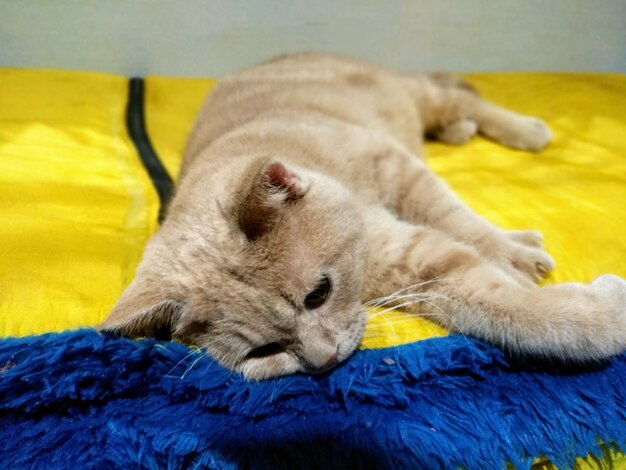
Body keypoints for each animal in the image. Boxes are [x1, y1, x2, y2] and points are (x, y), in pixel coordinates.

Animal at [97, 53, 624, 380]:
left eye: (318, 294)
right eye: (263, 353)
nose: (324, 360)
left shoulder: (396, 168)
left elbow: (459, 220)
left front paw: (515, 254)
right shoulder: (422, 269)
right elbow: (503, 307)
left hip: (412, 95)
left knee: (462, 96)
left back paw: (523, 129)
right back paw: (460, 130)